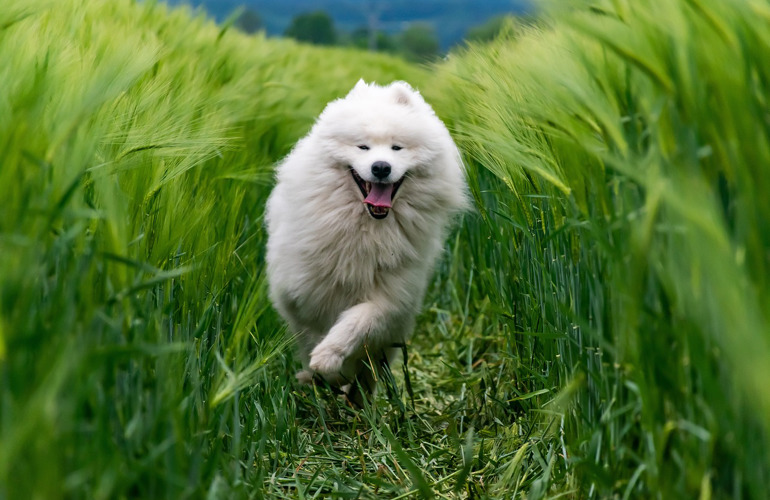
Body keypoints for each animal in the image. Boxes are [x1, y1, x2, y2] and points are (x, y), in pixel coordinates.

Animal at [264, 80, 468, 402]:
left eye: (397, 147)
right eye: (363, 147)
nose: (381, 167)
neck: (366, 230)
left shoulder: (393, 297)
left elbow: (358, 323)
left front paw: (331, 359)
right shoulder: (301, 294)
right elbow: (312, 337)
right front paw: (323, 372)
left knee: (371, 370)